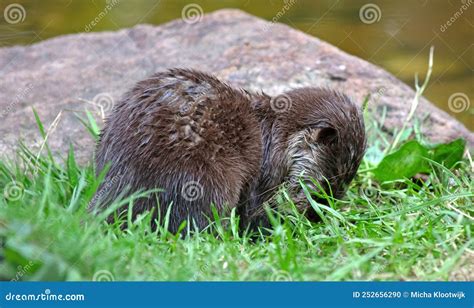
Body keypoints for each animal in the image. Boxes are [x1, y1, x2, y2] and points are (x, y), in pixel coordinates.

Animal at [90, 68, 368, 232]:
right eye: (323, 186)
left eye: (340, 189)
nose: (317, 217)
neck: (276, 134)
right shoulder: (268, 171)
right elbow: (256, 211)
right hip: (205, 178)